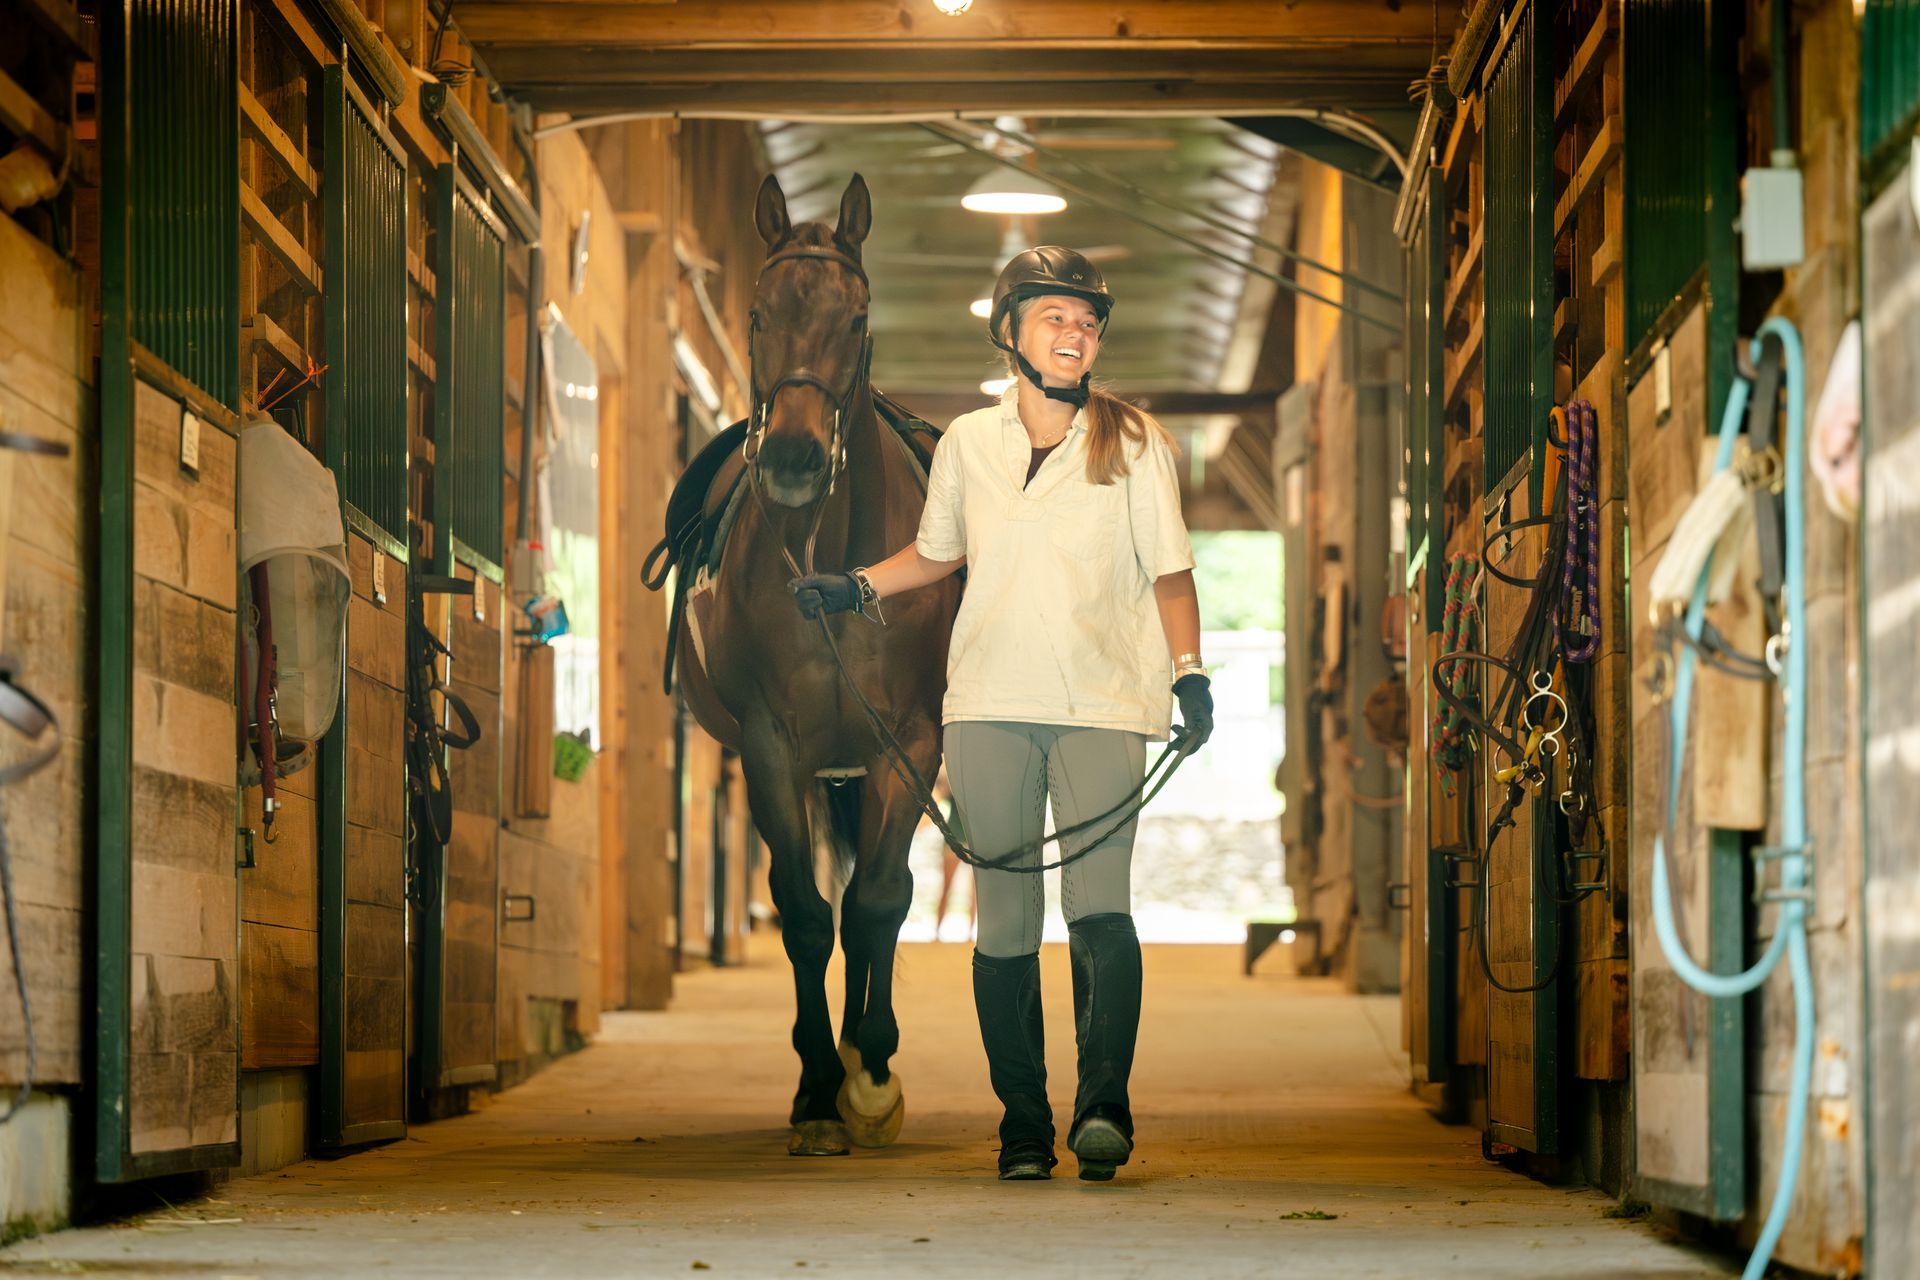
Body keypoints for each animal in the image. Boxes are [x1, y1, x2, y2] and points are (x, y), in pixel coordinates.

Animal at [672, 172, 961, 1156]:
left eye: (857, 316)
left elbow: (878, 901)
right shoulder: (772, 748)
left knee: (872, 900)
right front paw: (819, 1093)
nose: (795, 458)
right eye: (758, 314)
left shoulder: (909, 742)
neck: (834, 565)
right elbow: (803, 912)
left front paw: (872, 1075)